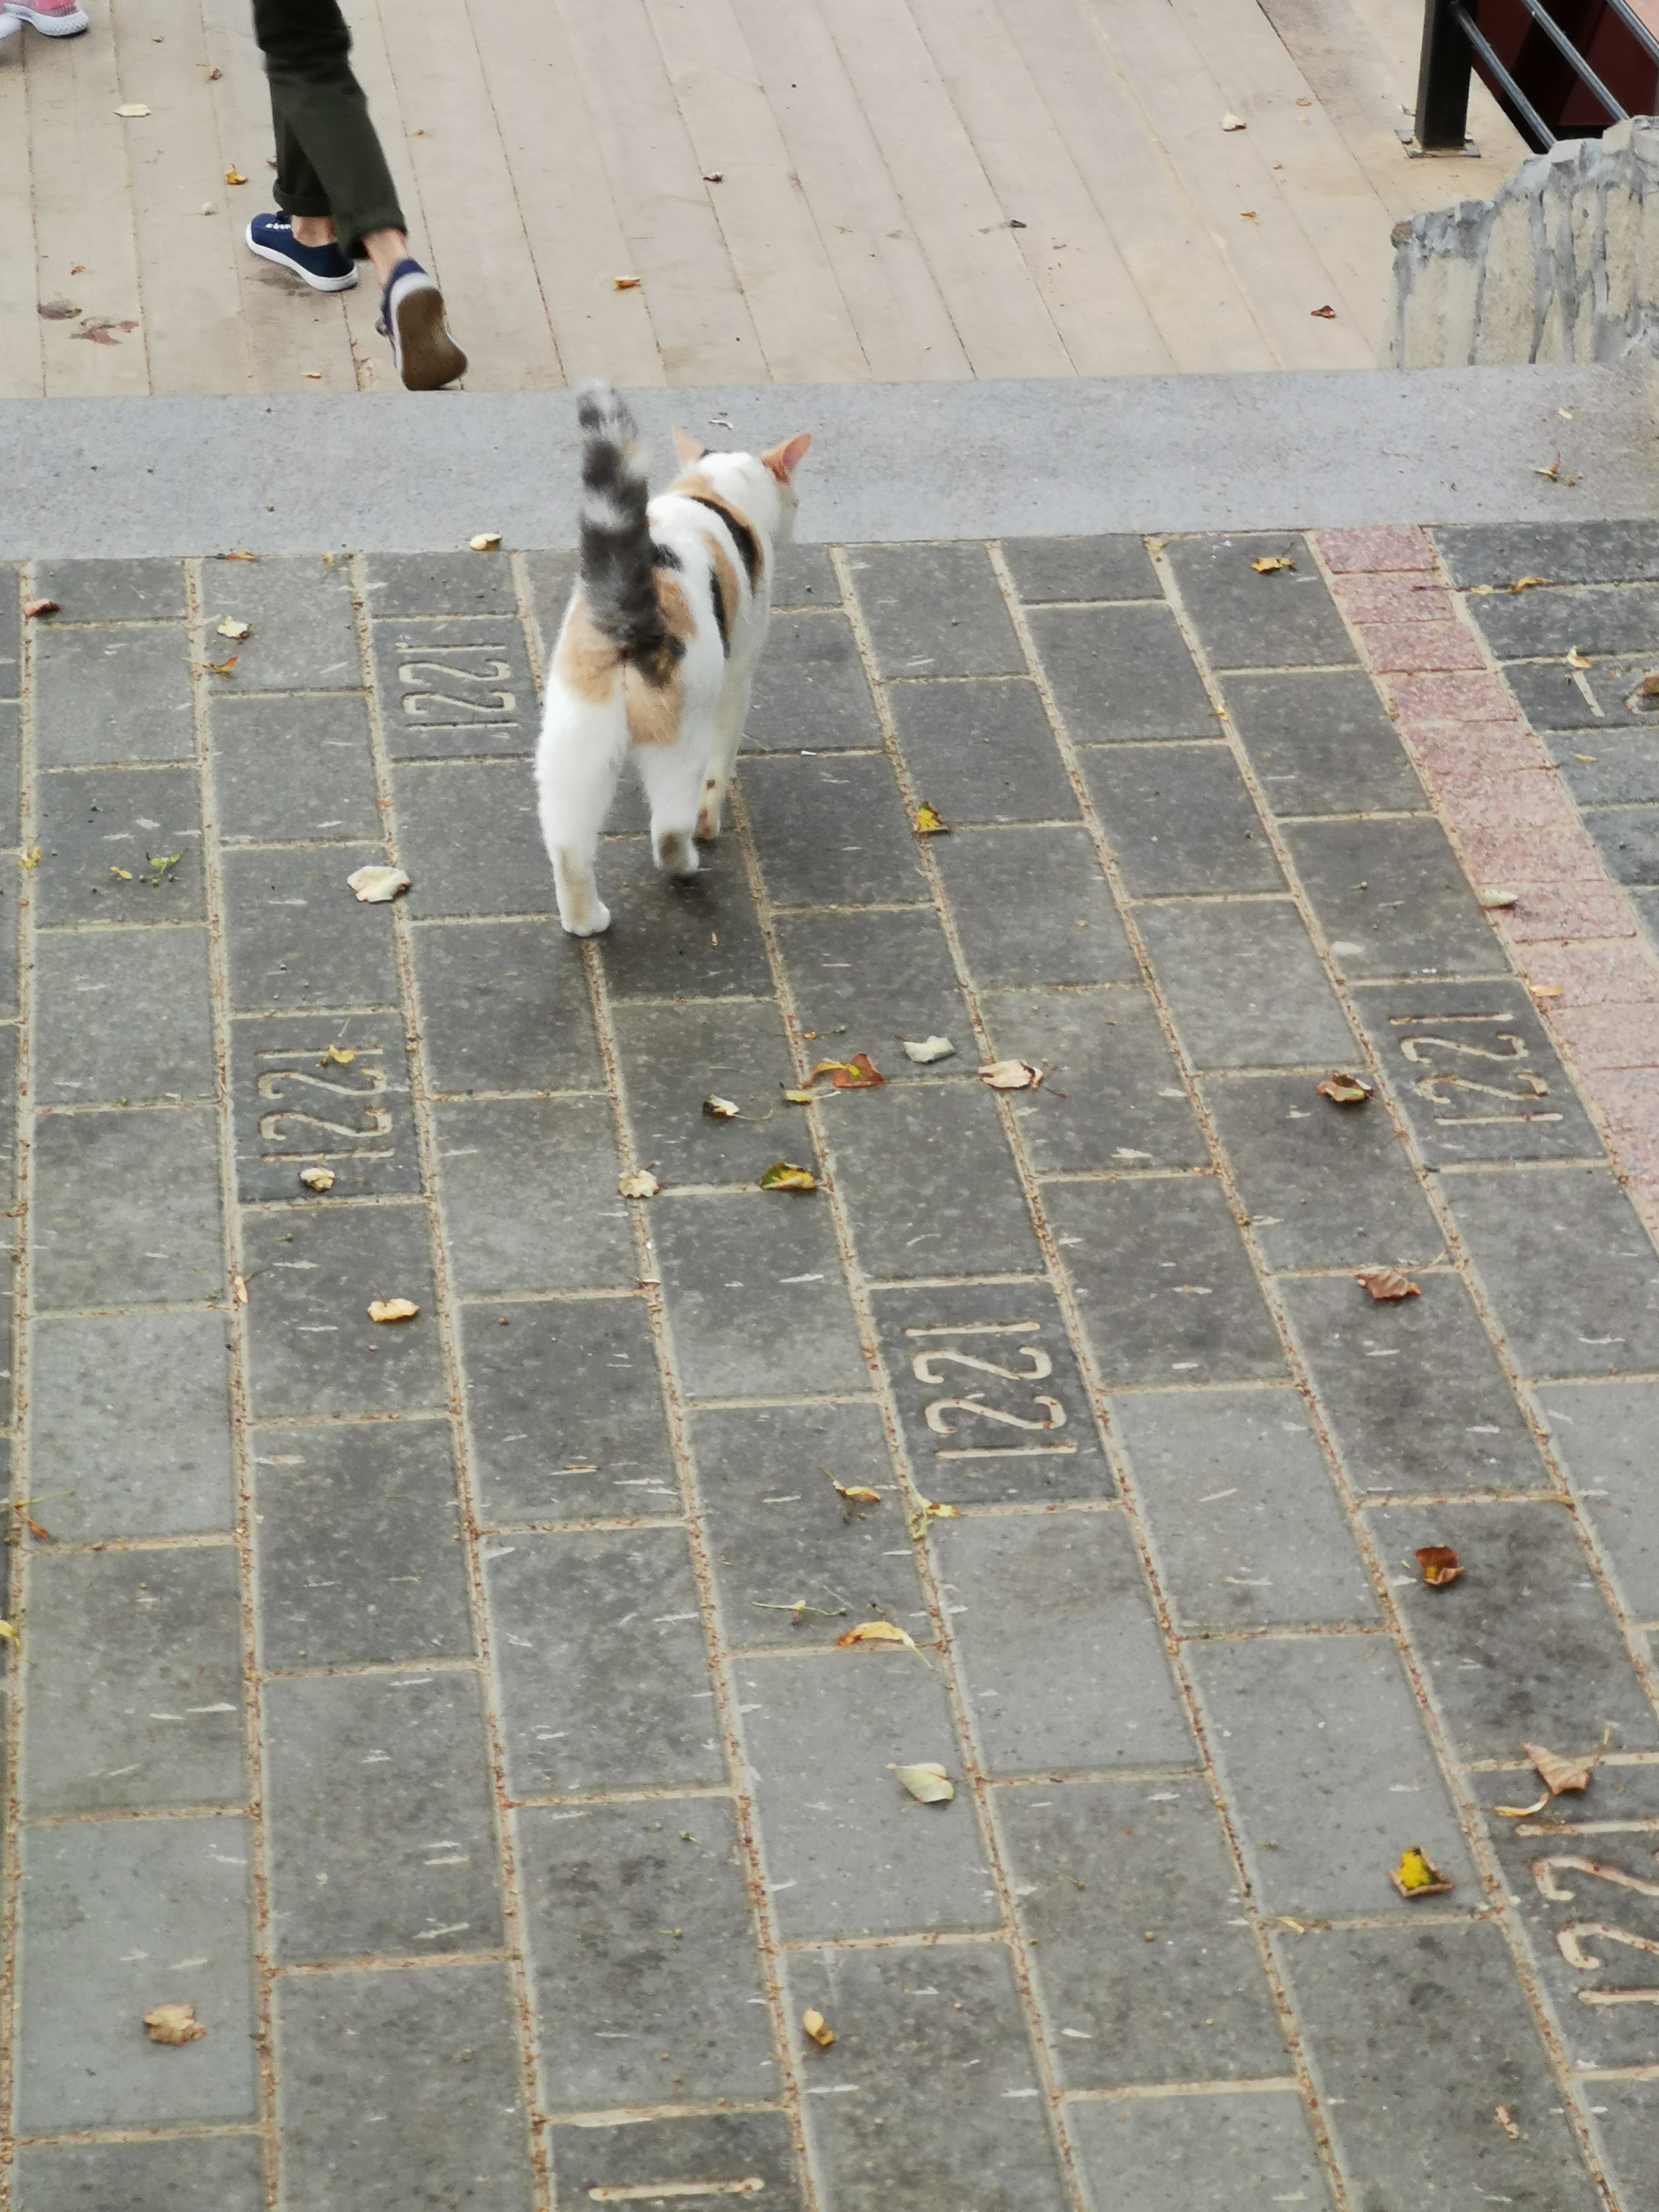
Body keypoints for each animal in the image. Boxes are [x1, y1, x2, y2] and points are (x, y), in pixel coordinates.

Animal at [535, 381, 811, 937]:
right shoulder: (739, 670)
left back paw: (586, 921)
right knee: (667, 829)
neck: (711, 494)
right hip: (680, 734)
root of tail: (627, 605)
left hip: (571, 744)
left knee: (569, 846)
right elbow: (720, 766)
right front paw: (713, 822)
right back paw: (687, 863)